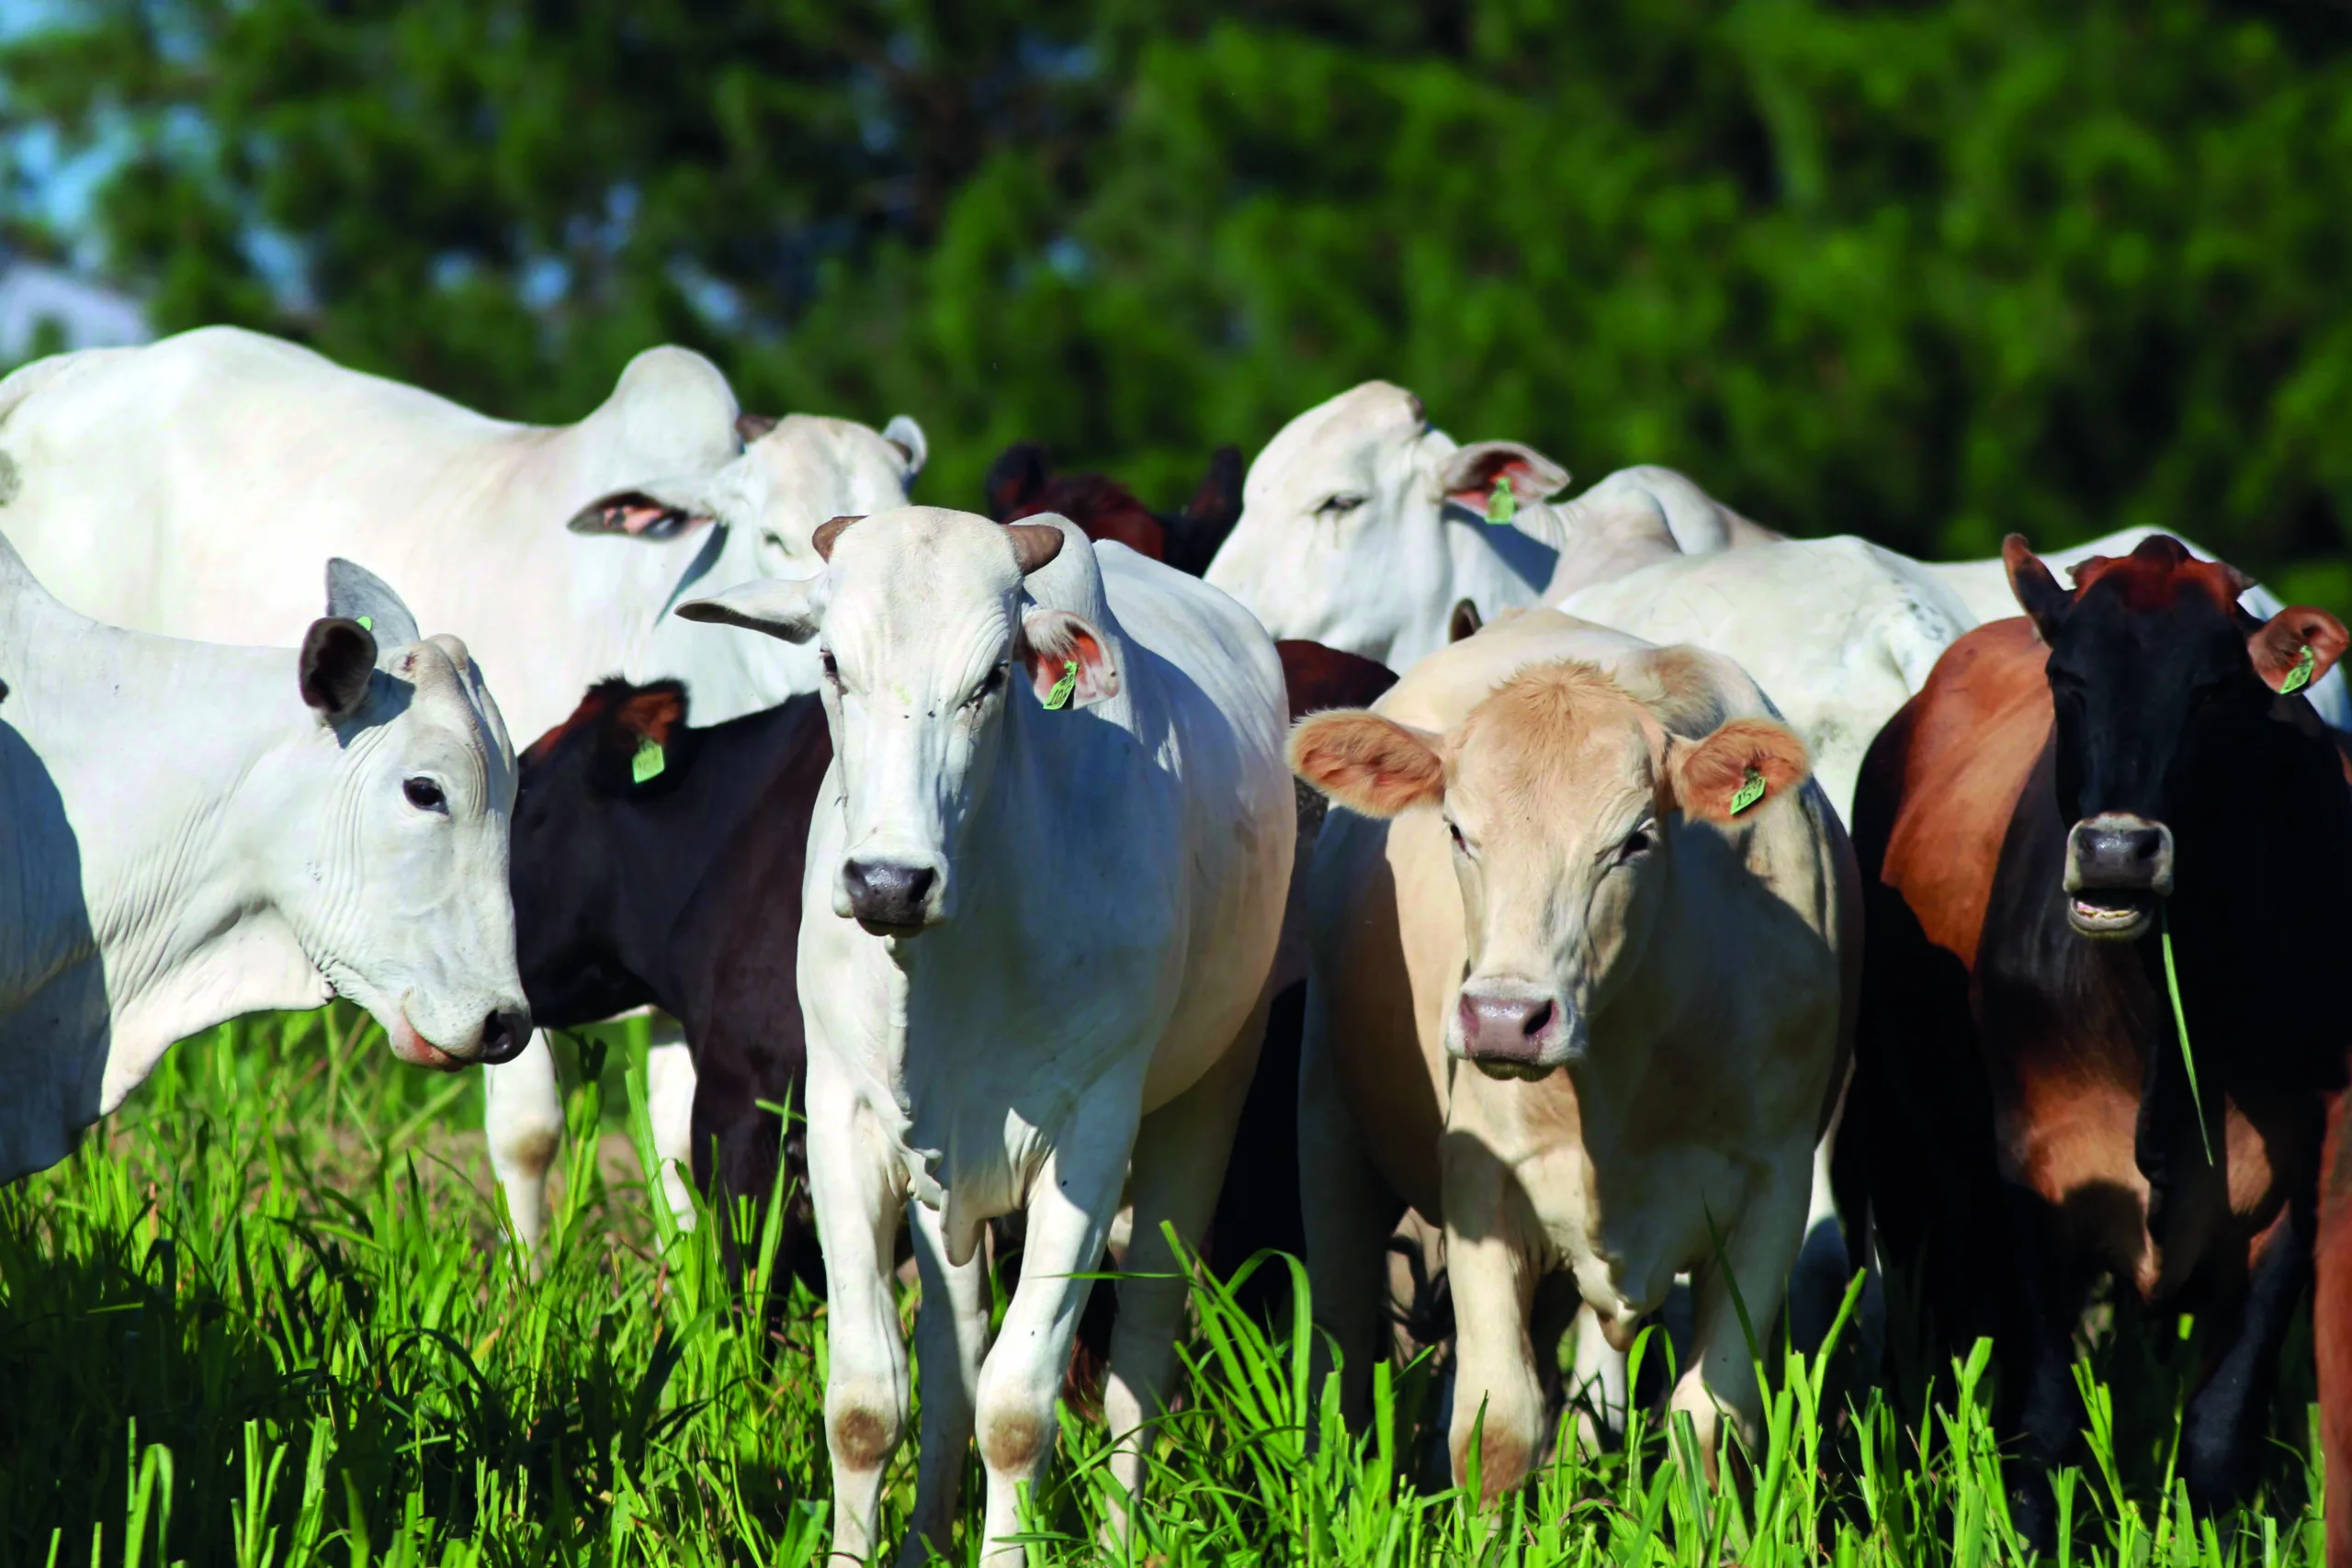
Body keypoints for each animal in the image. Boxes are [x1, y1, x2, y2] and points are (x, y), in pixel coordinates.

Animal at [682, 510, 1298, 1561]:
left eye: (994, 677)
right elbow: (865, 1403)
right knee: (954, 1348)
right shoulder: (845, 1121)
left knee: (1139, 1354)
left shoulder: (1088, 1138)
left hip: (1206, 1100)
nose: (889, 881)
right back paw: (928, 1535)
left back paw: (1117, 1539)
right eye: (832, 663)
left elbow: (1017, 1410)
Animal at [1834, 533, 2352, 1541]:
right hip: (1902, 1159)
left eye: (2213, 688)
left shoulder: (2290, 1188)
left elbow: (2219, 1430)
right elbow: (2041, 1422)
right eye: (2066, 679)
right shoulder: (2031, 1177)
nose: (2116, 852)